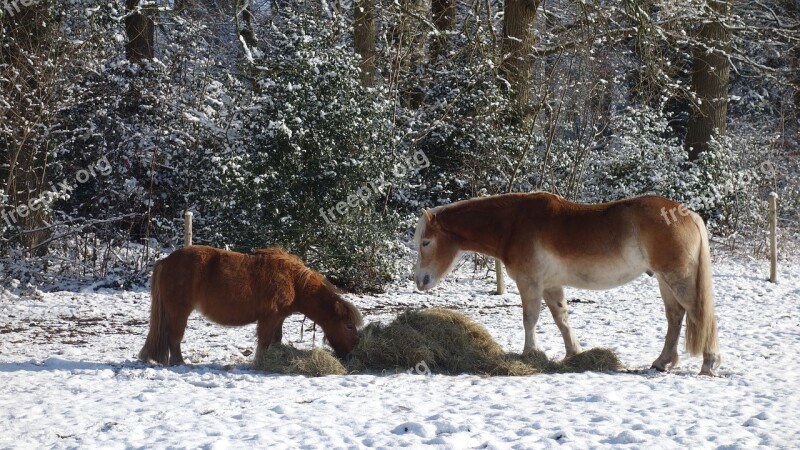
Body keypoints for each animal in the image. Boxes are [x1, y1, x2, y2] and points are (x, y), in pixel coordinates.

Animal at [139, 246, 360, 366]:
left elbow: (276, 340)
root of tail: (165, 261)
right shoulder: (269, 318)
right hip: (179, 312)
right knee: (174, 337)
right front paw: (260, 362)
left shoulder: (278, 319)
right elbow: (264, 341)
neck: (294, 281)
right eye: (348, 325)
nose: (352, 354)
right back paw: (179, 362)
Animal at [416, 192, 720, 374]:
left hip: (676, 279)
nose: (420, 281)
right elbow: (562, 319)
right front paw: (574, 353)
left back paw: (708, 363)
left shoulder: (530, 283)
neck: (513, 223)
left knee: (697, 314)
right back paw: (663, 362)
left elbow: (530, 319)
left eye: (426, 242)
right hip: (663, 281)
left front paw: (530, 353)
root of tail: (688, 214)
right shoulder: (551, 286)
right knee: (675, 317)